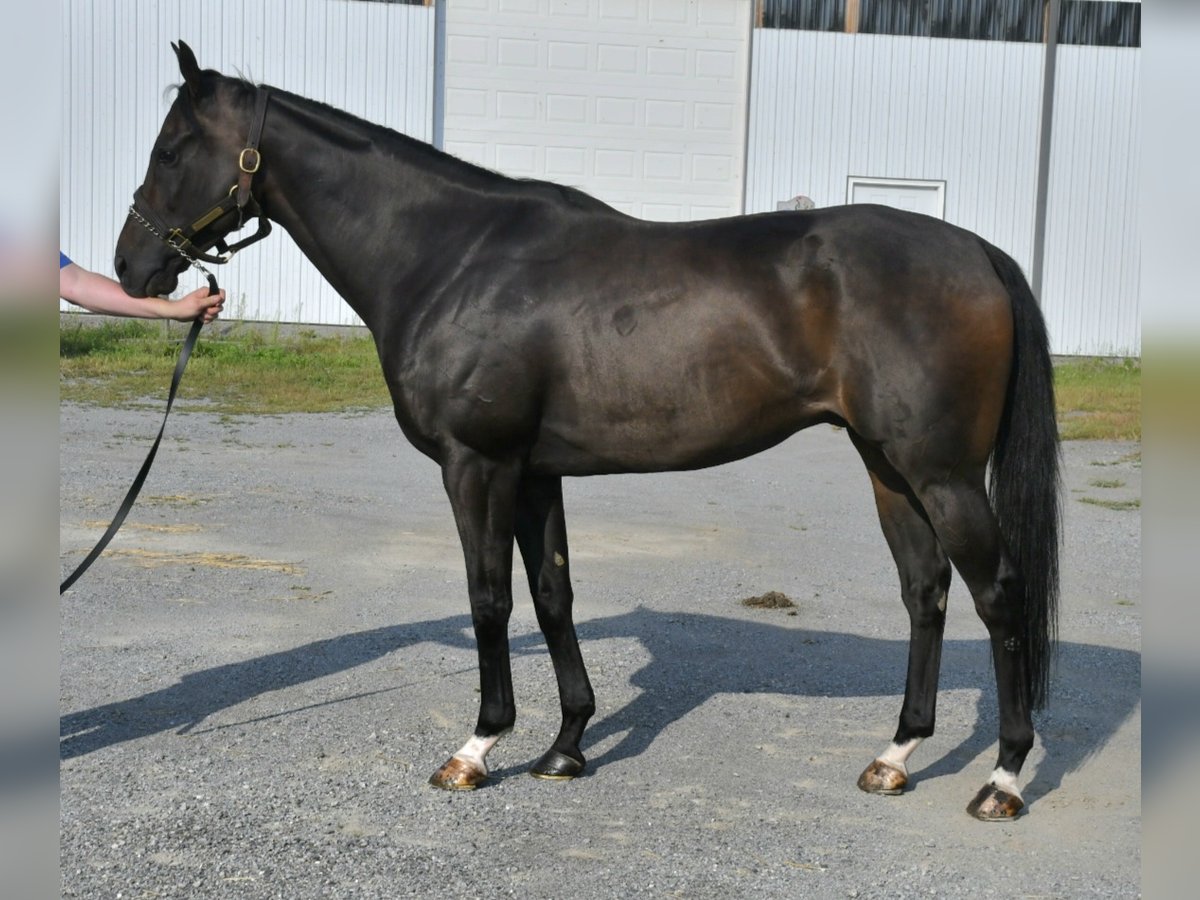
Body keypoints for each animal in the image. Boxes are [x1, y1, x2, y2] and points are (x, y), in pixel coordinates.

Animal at [114, 42, 1060, 820]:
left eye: (172, 151)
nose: (132, 265)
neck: (452, 256)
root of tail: (979, 252)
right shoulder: (535, 473)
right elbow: (553, 596)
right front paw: (566, 746)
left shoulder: (478, 465)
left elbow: (489, 597)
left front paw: (475, 749)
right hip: (889, 466)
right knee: (925, 590)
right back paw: (895, 757)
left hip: (940, 473)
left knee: (998, 593)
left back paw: (1004, 779)